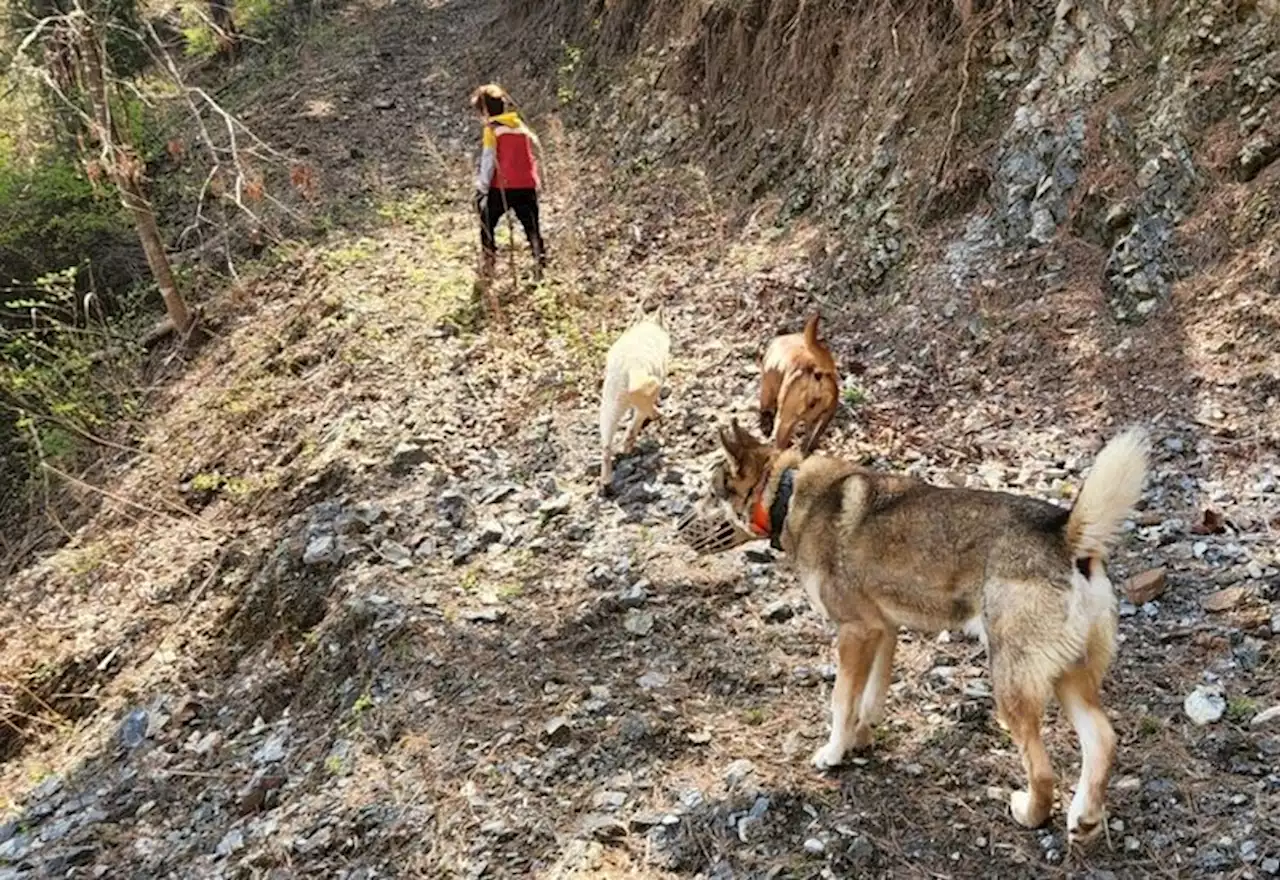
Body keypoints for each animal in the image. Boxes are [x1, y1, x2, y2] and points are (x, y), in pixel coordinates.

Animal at [680, 422, 1152, 844]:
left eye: (709, 494)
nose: (678, 527)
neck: (787, 491)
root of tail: (1067, 534)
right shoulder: (883, 631)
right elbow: (870, 699)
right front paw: (861, 740)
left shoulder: (854, 632)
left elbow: (841, 703)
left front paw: (833, 754)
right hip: (1068, 678)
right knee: (1103, 740)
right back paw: (1084, 819)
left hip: (1011, 685)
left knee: (1043, 769)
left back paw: (1030, 814)